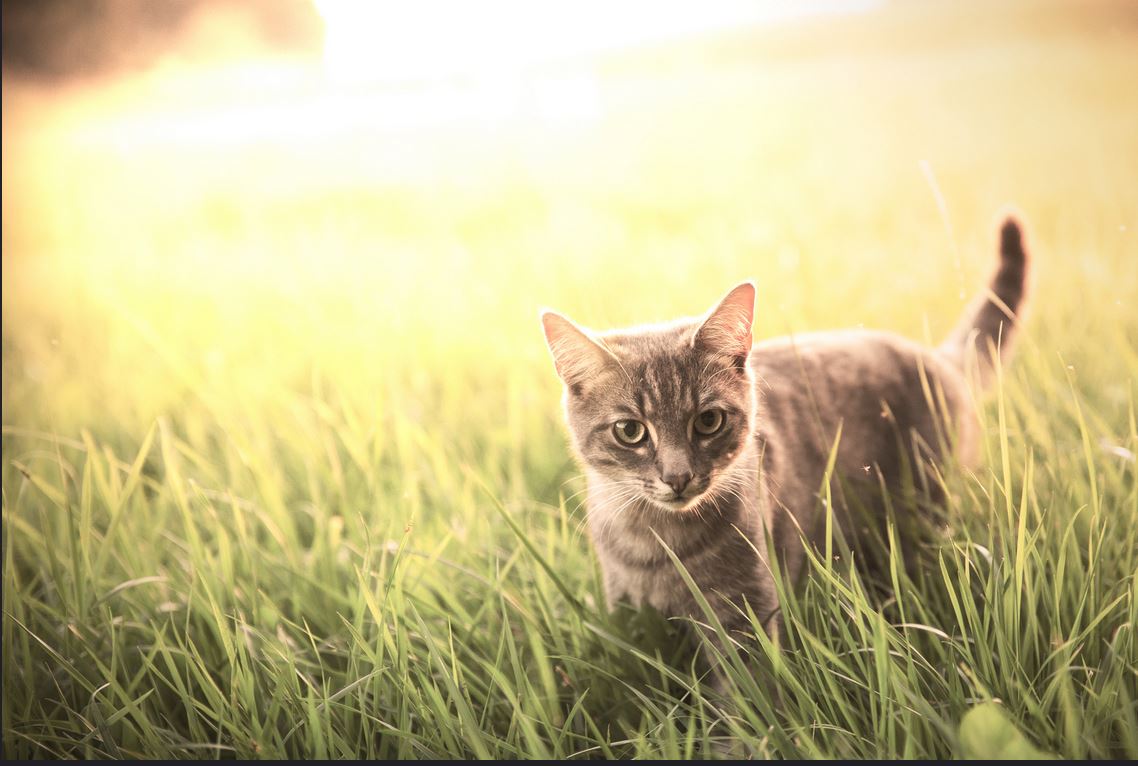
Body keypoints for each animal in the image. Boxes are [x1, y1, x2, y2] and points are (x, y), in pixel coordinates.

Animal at [537, 218, 1028, 641]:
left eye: (708, 421)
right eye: (630, 431)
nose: (677, 477)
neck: (657, 541)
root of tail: (935, 357)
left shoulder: (744, 611)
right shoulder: (627, 610)